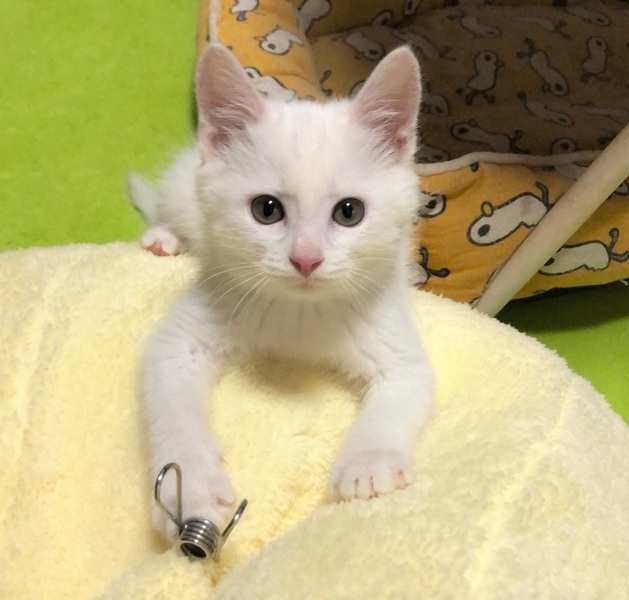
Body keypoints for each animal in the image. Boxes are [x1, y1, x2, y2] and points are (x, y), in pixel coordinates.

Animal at [137, 42, 434, 539]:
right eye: (266, 209)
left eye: (349, 212)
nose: (306, 259)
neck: (299, 313)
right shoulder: (183, 335)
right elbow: (172, 406)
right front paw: (192, 484)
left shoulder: (395, 341)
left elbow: (404, 390)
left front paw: (367, 466)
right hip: (183, 187)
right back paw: (164, 238)